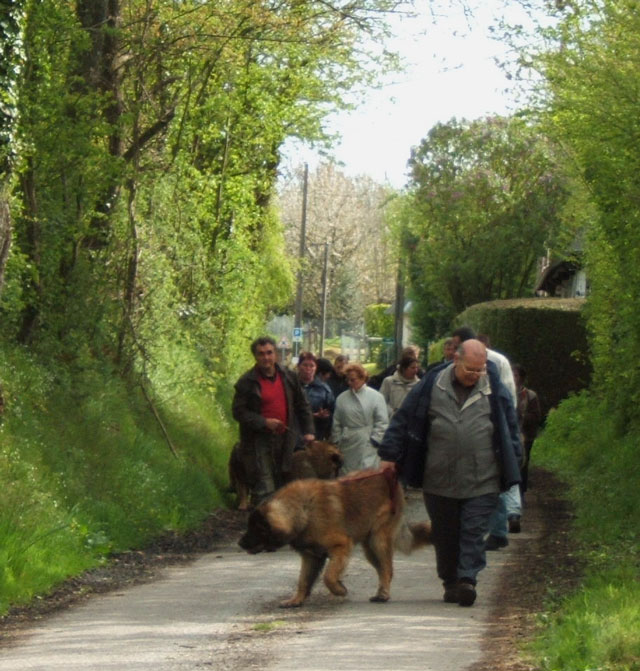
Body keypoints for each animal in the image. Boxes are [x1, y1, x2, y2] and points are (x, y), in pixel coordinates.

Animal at [236, 468, 430, 608]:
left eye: (255, 528)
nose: (239, 543)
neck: (304, 510)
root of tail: (389, 475)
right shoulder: (311, 556)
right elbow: (303, 580)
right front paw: (296, 600)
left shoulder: (340, 546)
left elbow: (328, 576)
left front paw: (339, 590)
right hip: (368, 546)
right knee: (382, 569)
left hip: (378, 540)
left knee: (387, 569)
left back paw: (383, 594)